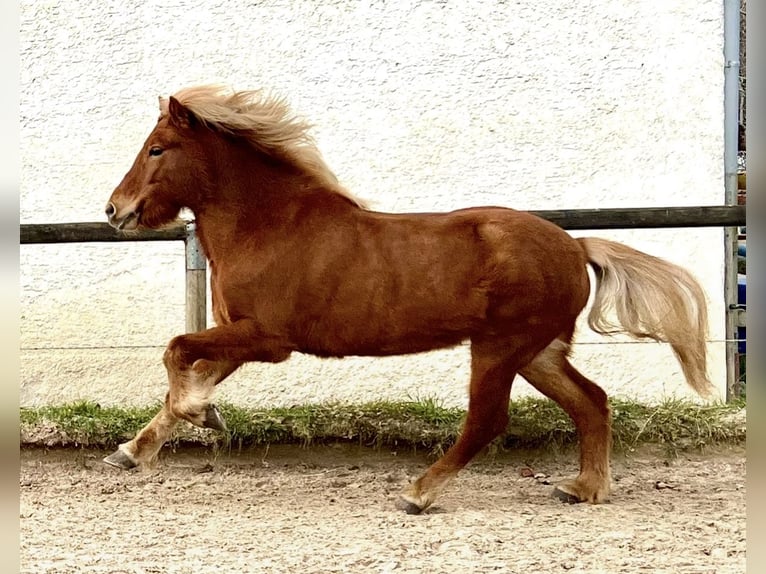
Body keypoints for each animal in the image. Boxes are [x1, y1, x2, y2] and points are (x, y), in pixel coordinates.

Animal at [103, 85, 712, 514]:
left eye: (157, 148)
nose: (115, 210)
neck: (270, 226)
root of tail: (575, 244)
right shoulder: (239, 337)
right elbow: (188, 371)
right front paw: (139, 447)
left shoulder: (267, 339)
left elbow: (176, 349)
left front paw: (199, 416)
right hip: (537, 352)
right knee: (592, 402)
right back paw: (583, 488)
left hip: (500, 348)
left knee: (487, 421)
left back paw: (418, 492)